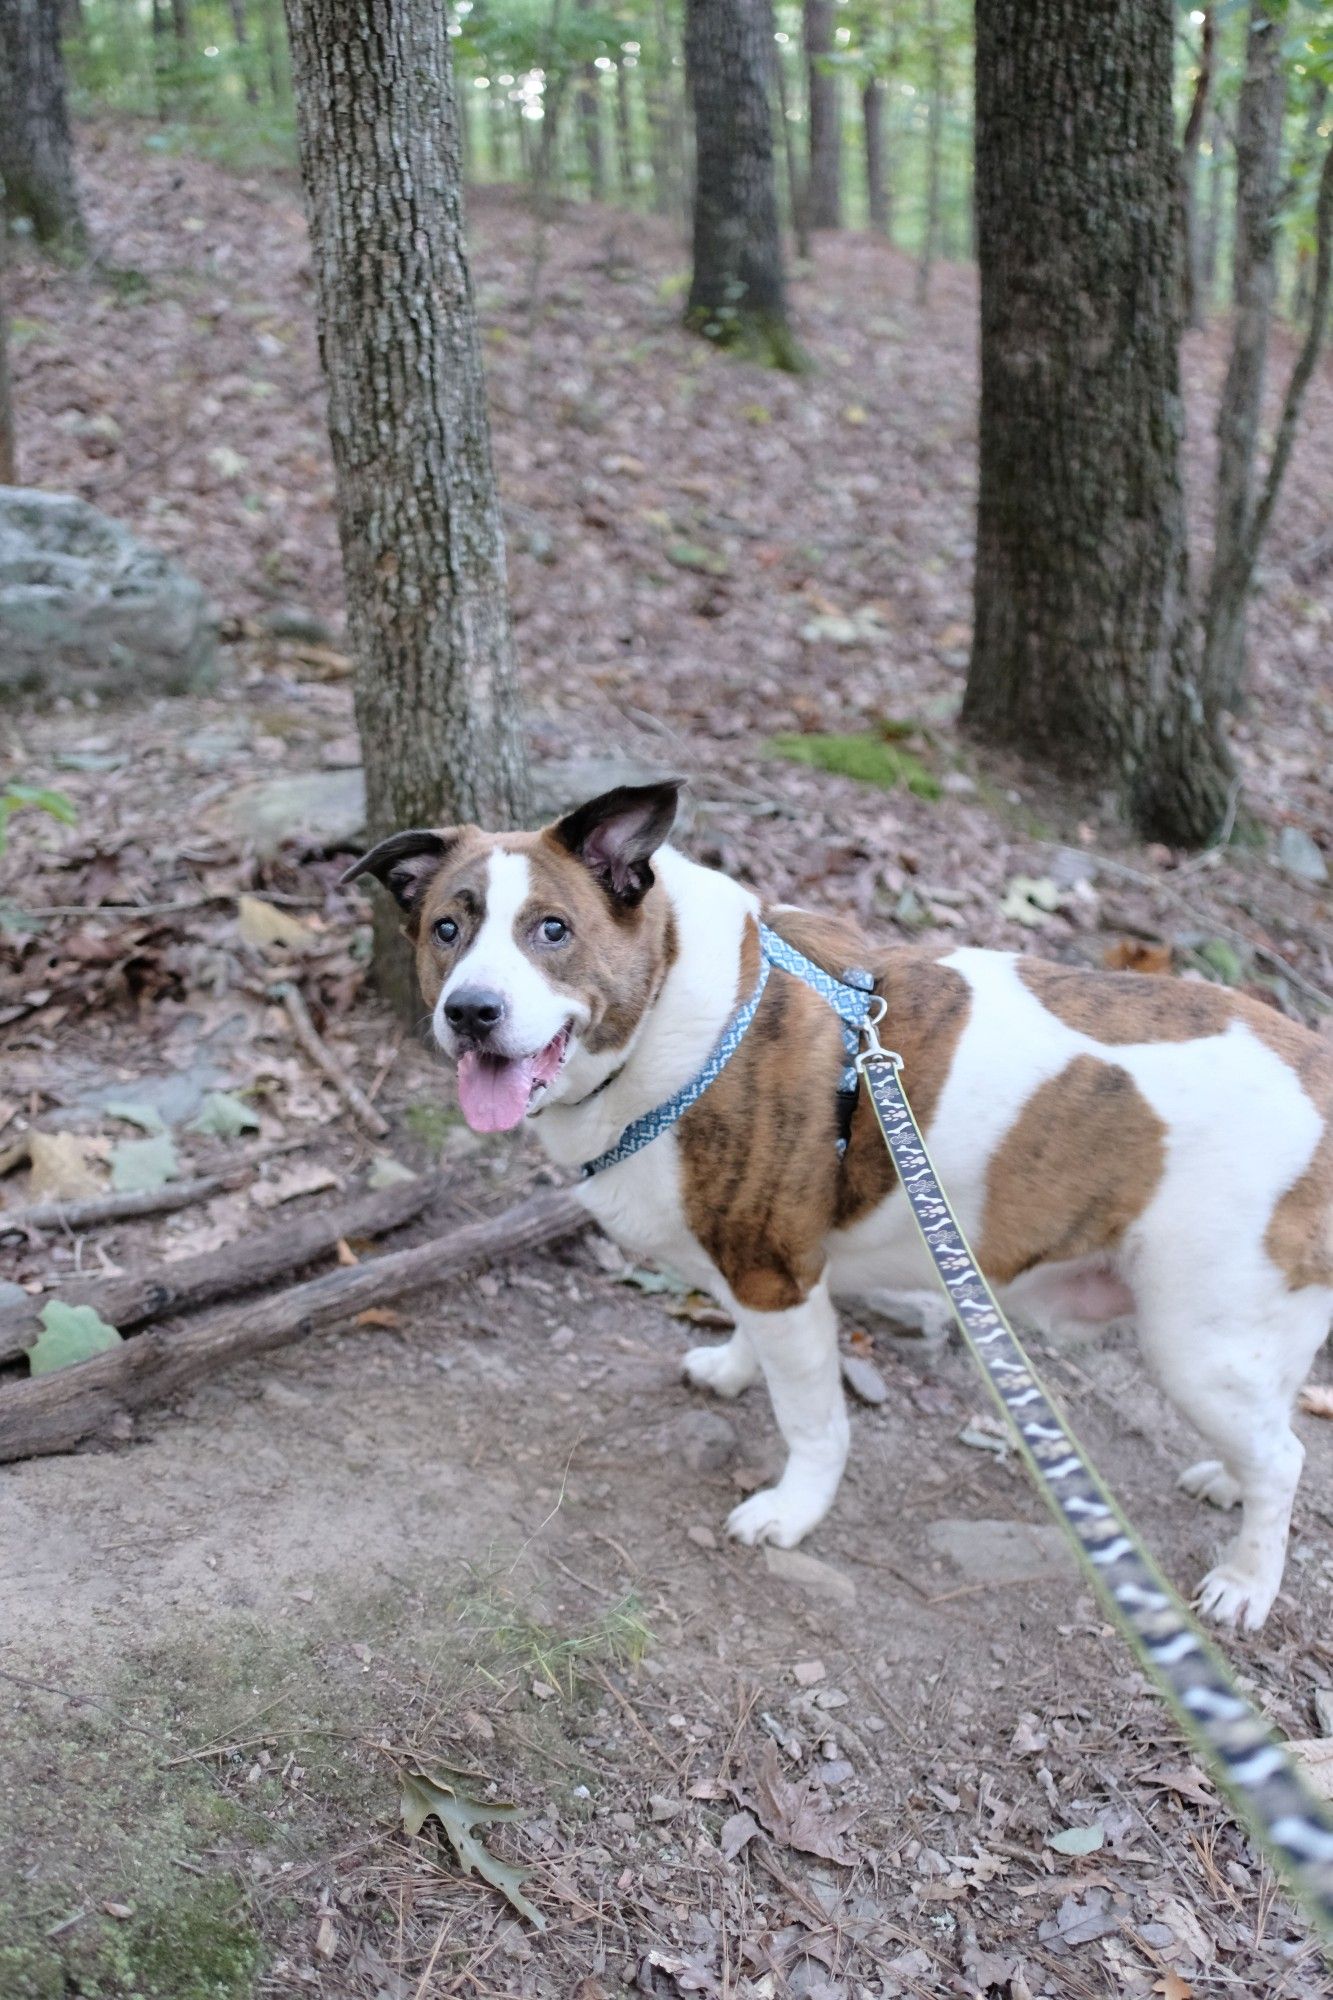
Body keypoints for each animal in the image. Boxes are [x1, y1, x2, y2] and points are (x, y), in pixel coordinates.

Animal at [344, 772, 1328, 1632]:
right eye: (445, 928)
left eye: (552, 929)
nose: (471, 1012)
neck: (675, 1009)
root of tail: (1317, 1064)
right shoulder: (760, 1273)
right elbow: (755, 1342)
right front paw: (731, 1367)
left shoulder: (777, 1272)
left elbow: (812, 1419)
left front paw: (793, 1508)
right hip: (1251, 1328)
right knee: (1272, 1421)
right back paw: (1228, 1479)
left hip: (1194, 1338)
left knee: (1285, 1456)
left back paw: (1246, 1580)